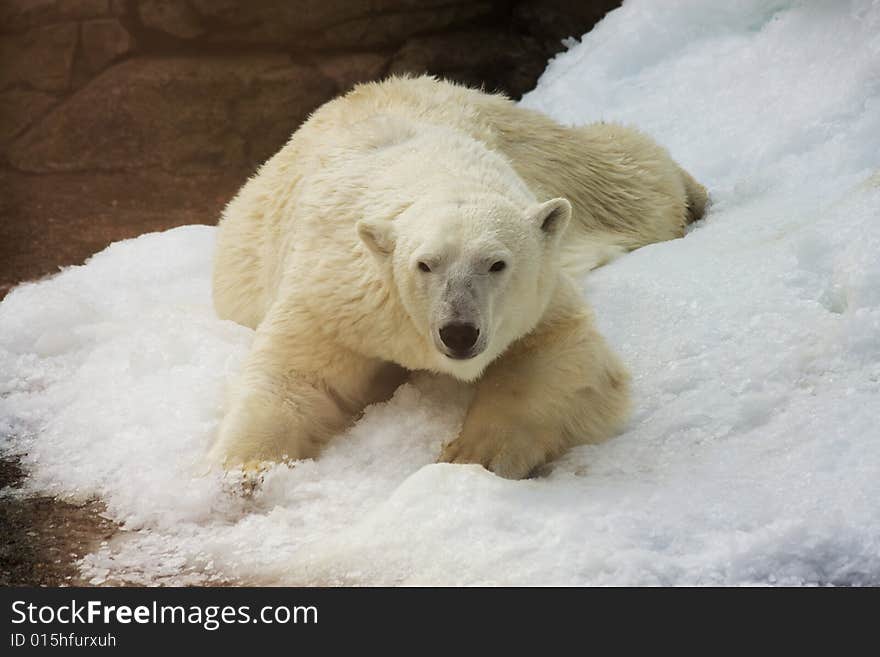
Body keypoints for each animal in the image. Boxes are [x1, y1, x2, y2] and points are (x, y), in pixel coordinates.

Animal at [211, 75, 708, 476]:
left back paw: (695, 195)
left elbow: (562, 351)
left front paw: (472, 454)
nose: (459, 332)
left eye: (496, 263)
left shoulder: (540, 296)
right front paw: (243, 471)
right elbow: (300, 376)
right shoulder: (338, 296)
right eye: (425, 264)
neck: (430, 173)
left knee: (628, 177)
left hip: (542, 153)